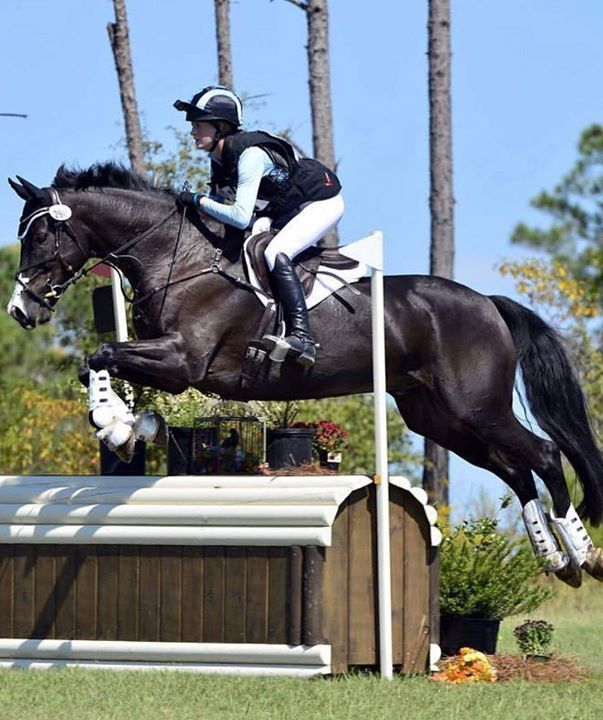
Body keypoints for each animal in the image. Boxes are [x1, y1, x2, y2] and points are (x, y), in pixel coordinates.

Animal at [7, 163, 603, 584]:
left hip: (476, 406)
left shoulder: (184, 360)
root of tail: (487, 303)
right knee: (514, 469)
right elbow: (109, 367)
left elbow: (101, 355)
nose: (21, 311)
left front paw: (113, 425)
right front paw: (128, 429)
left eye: (38, 238)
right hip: (438, 417)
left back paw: (584, 554)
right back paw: (556, 562)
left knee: (543, 454)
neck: (180, 258)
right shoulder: (175, 367)